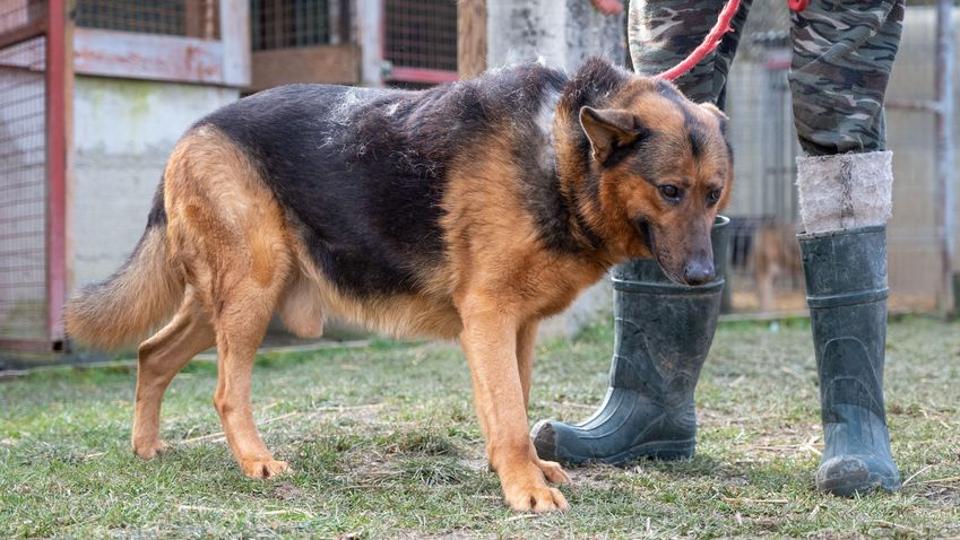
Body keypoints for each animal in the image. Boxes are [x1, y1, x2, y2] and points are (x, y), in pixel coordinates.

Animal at [65, 59, 728, 516]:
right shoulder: (489, 317)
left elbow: (509, 406)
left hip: (228, 302)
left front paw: (527, 470)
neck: (561, 153)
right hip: (252, 292)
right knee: (226, 390)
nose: (702, 278)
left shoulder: (516, 327)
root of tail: (196, 128)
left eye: (713, 193)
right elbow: (510, 413)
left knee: (152, 354)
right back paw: (255, 461)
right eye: (669, 191)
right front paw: (526, 490)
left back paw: (146, 448)